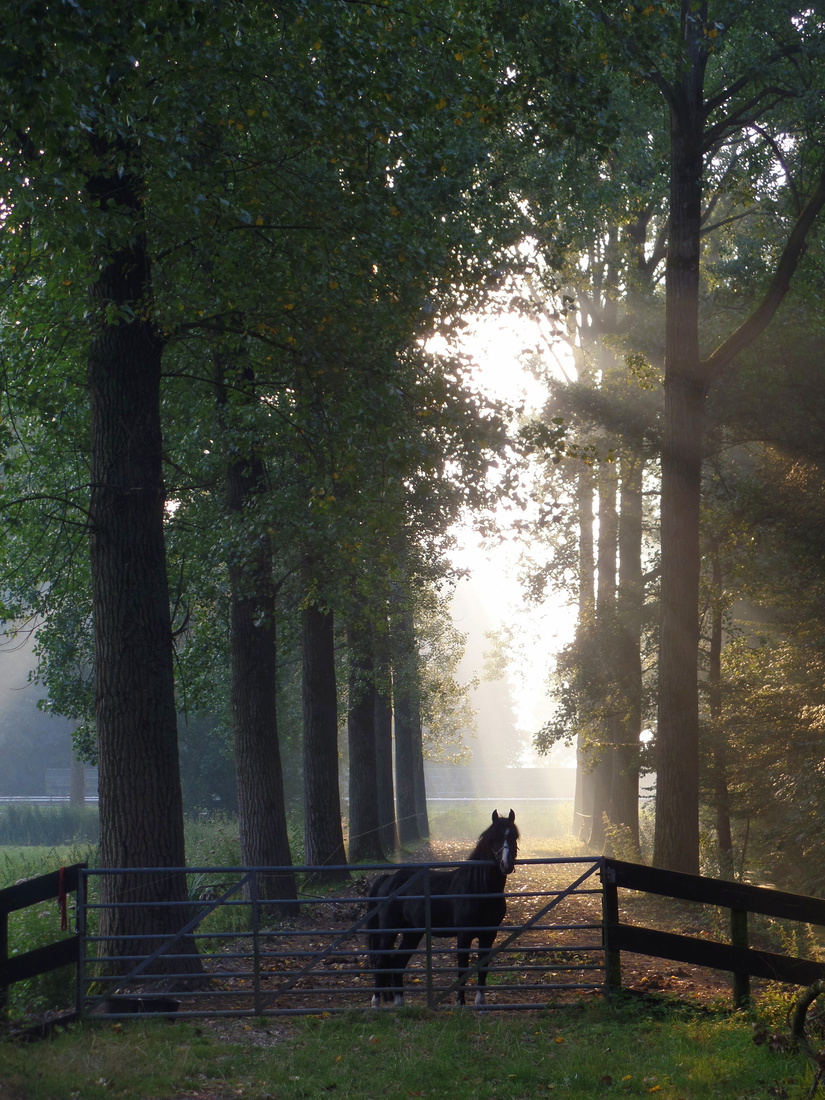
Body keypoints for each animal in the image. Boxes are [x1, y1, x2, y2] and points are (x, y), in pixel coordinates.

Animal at [366, 809, 519, 1007]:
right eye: (494, 838)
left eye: (514, 836)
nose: (506, 864)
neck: (478, 888)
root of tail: (389, 878)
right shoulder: (464, 935)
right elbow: (462, 969)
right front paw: (460, 1003)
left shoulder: (489, 934)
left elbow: (482, 967)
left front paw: (480, 1002)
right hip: (388, 931)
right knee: (380, 960)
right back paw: (376, 1002)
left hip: (412, 933)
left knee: (397, 962)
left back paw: (399, 1002)